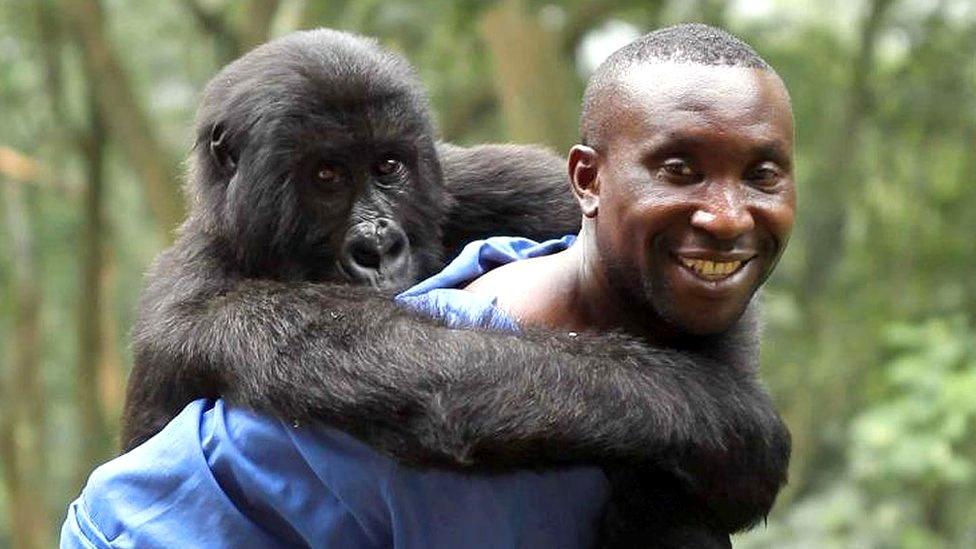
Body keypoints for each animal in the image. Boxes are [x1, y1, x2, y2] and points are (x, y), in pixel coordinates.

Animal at [122, 28, 788, 544]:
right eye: (326, 175)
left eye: (388, 167)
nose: (378, 247)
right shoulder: (200, 302)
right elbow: (429, 369)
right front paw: (722, 423)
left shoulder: (468, 178)